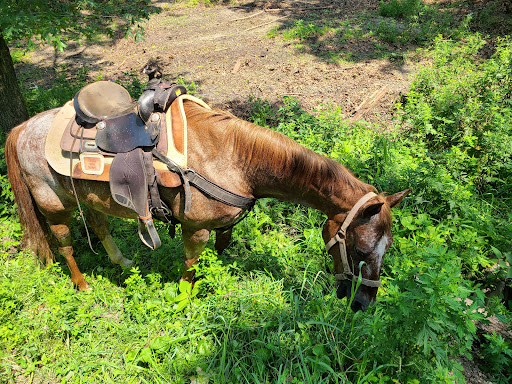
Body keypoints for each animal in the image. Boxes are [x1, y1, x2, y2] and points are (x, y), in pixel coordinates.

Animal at [5, 99, 408, 312]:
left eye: (388, 249)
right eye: (360, 249)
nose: (364, 303)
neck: (233, 157)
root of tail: (22, 128)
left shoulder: (225, 224)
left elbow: (221, 249)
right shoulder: (194, 227)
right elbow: (191, 265)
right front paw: (183, 299)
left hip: (88, 196)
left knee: (100, 225)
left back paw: (123, 261)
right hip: (54, 203)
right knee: (64, 243)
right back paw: (83, 286)